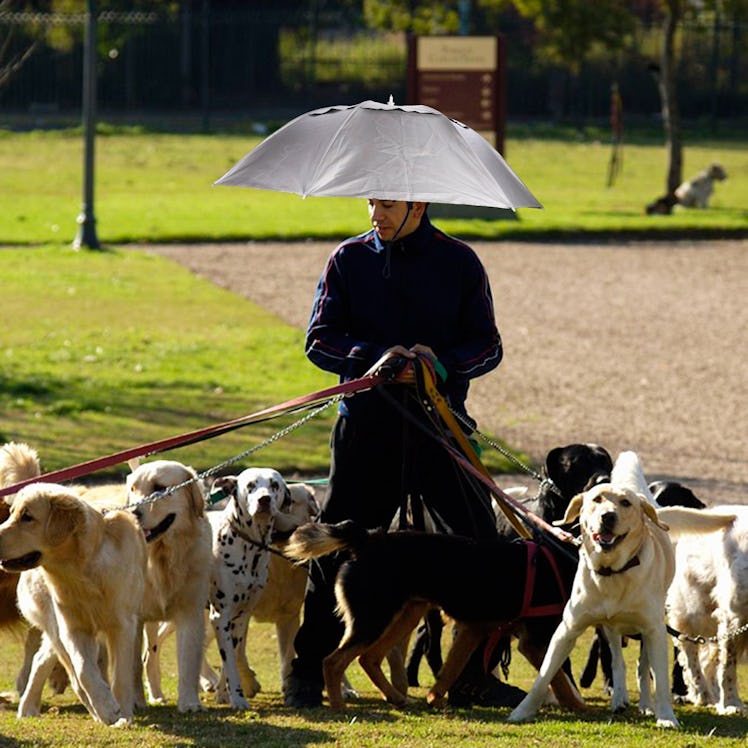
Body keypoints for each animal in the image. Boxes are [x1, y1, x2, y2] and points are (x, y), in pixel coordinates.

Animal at [0, 480, 148, 724]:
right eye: (11, 513)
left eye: (27, 517)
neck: (80, 572)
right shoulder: (72, 628)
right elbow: (83, 670)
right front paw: (107, 708)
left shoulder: (123, 625)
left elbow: (120, 677)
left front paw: (124, 715)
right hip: (54, 625)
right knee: (56, 666)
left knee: (42, 658)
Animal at [506, 452, 732, 728]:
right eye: (596, 499)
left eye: (625, 503)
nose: (608, 516)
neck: (613, 572)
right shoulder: (567, 629)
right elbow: (545, 673)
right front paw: (522, 711)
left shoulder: (654, 630)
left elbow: (657, 679)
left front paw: (666, 717)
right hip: (609, 627)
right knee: (616, 658)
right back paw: (620, 697)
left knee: (642, 668)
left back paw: (645, 705)